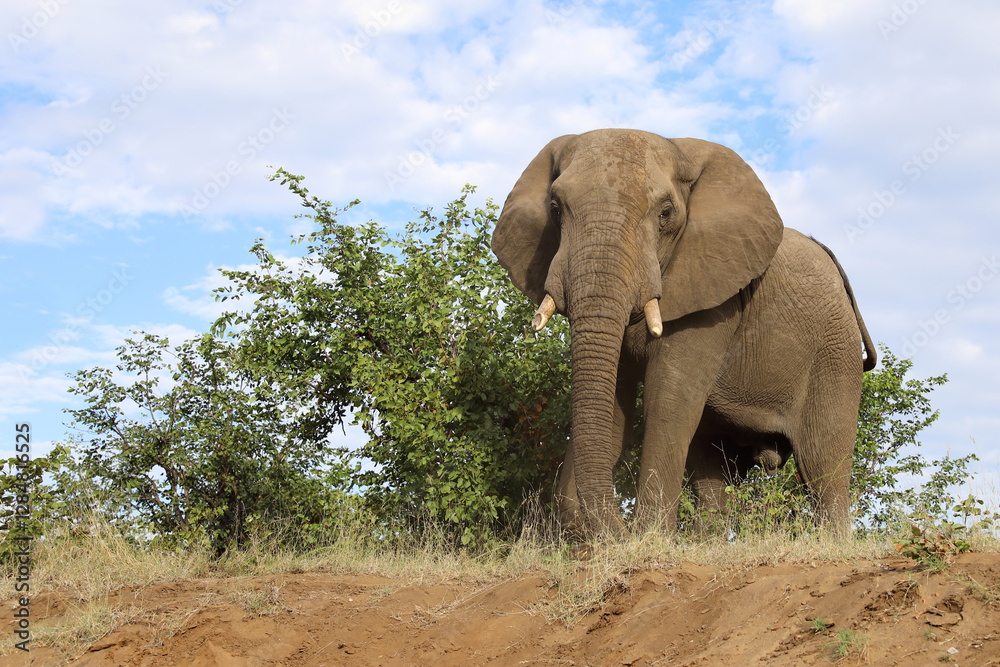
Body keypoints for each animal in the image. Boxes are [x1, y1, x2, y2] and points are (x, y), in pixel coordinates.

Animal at [491, 129, 876, 536]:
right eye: (554, 208)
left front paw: (647, 538)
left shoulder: (714, 299)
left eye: (665, 213)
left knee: (823, 464)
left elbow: (669, 400)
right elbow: (615, 407)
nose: (612, 531)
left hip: (834, 351)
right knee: (712, 471)